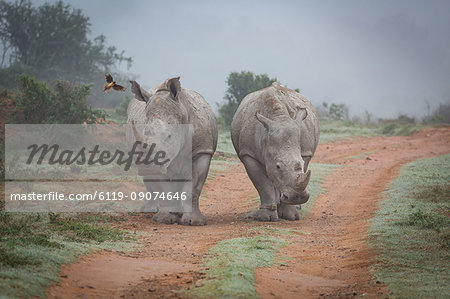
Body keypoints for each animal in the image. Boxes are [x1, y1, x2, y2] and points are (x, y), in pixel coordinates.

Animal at [126, 76, 218, 226]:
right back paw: (150, 211)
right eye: (144, 134)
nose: (149, 166)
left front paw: (194, 222)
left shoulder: (201, 151)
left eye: (169, 136)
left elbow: (193, 187)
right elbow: (163, 188)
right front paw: (164, 219)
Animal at [232, 83, 320, 221]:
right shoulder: (248, 154)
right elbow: (262, 183)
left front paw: (290, 216)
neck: (279, 117)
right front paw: (265, 217)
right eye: (278, 166)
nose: (298, 197)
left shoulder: (306, 152)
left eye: (300, 162)